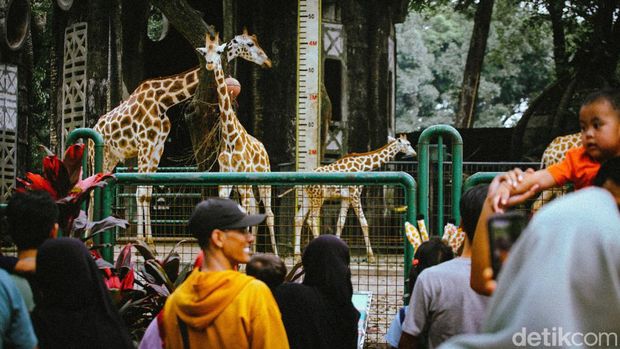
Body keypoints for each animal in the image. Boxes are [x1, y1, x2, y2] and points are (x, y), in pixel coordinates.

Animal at [88, 29, 270, 239]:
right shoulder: (144, 144)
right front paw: (141, 239)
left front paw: (150, 240)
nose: (266, 60)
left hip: (112, 157)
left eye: (255, 41)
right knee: (91, 189)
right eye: (249, 44)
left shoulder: (157, 147)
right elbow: (140, 192)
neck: (163, 100)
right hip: (98, 155)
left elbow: (147, 193)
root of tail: (94, 129)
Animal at [197, 33, 280, 253]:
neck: (230, 135)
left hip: (264, 179)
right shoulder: (225, 179)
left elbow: (246, 212)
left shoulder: (243, 177)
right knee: (255, 208)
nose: (210, 64)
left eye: (219, 51)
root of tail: (264, 148)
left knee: (268, 213)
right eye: (204, 53)